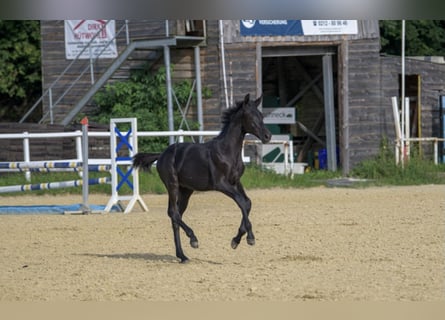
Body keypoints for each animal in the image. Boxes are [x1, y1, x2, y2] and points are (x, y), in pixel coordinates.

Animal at [132, 93, 270, 262]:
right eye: (251, 116)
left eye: (261, 115)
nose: (267, 136)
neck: (227, 151)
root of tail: (162, 154)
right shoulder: (221, 184)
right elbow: (242, 203)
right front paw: (250, 238)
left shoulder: (236, 182)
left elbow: (247, 203)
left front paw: (236, 240)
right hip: (172, 185)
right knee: (172, 213)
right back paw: (193, 239)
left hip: (186, 190)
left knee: (176, 216)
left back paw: (182, 255)